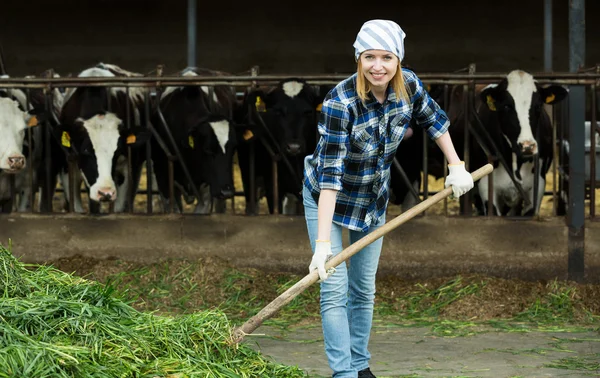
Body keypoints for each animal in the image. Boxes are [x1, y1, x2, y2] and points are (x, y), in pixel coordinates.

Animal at [58, 63, 151, 214]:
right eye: (86, 151)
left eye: (117, 152)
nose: (105, 192)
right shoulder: (68, 167)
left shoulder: (126, 169)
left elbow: (119, 208)